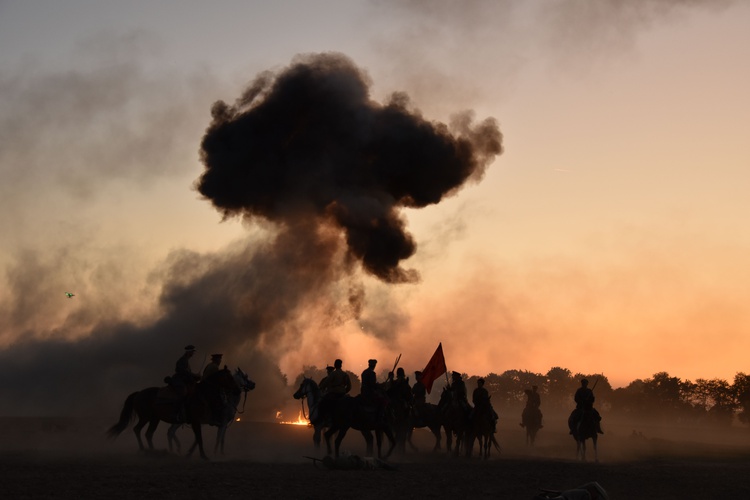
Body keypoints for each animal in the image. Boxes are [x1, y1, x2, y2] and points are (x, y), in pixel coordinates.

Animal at [107, 366, 238, 458]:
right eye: (229, 377)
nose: (236, 389)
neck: (202, 395)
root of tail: (138, 393)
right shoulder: (197, 421)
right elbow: (199, 438)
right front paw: (203, 456)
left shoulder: (202, 422)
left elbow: (199, 437)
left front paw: (191, 453)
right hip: (145, 417)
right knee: (138, 430)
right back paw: (145, 450)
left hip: (154, 419)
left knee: (148, 433)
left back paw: (153, 451)